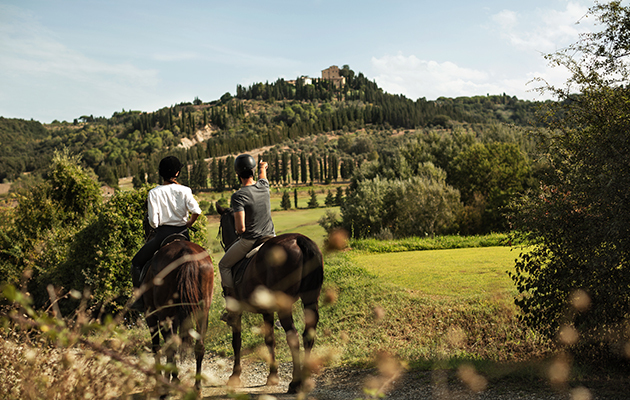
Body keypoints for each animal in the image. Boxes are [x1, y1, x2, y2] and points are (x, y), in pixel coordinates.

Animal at [136, 227, 215, 392]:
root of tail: (185, 253)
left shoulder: (151, 315)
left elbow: (157, 347)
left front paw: (162, 377)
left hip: (163, 314)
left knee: (171, 346)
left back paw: (171, 381)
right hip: (203, 312)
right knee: (199, 345)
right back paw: (197, 386)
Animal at [217, 203, 326, 394]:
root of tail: (299, 240)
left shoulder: (236, 309)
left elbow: (236, 341)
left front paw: (235, 375)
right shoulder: (267, 311)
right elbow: (270, 340)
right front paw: (272, 376)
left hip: (285, 306)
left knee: (293, 337)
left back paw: (295, 383)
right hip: (310, 299)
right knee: (308, 334)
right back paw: (305, 379)